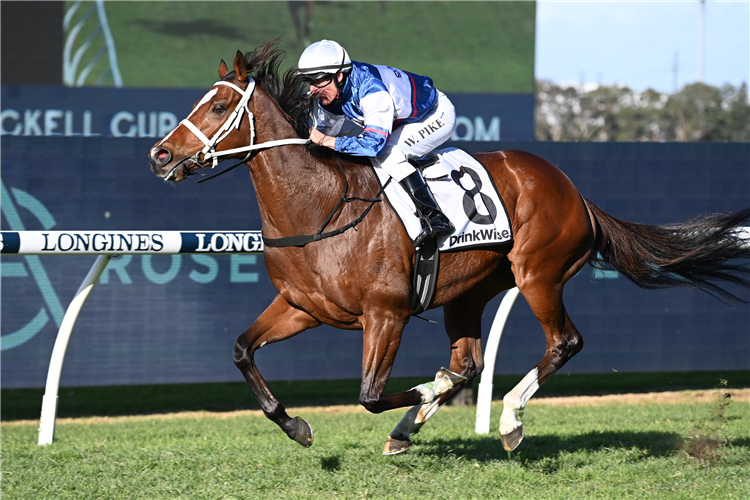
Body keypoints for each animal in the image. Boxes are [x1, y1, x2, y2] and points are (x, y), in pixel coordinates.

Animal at [148, 43, 750, 456]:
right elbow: (241, 350)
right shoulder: (303, 307)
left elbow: (371, 393)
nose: (160, 154)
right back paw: (413, 426)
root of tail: (573, 190)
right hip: (470, 293)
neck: (320, 207)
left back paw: (507, 421)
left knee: (563, 343)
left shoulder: (385, 314)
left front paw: (422, 394)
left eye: (218, 106)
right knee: (470, 361)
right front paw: (297, 426)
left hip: (538, 275)